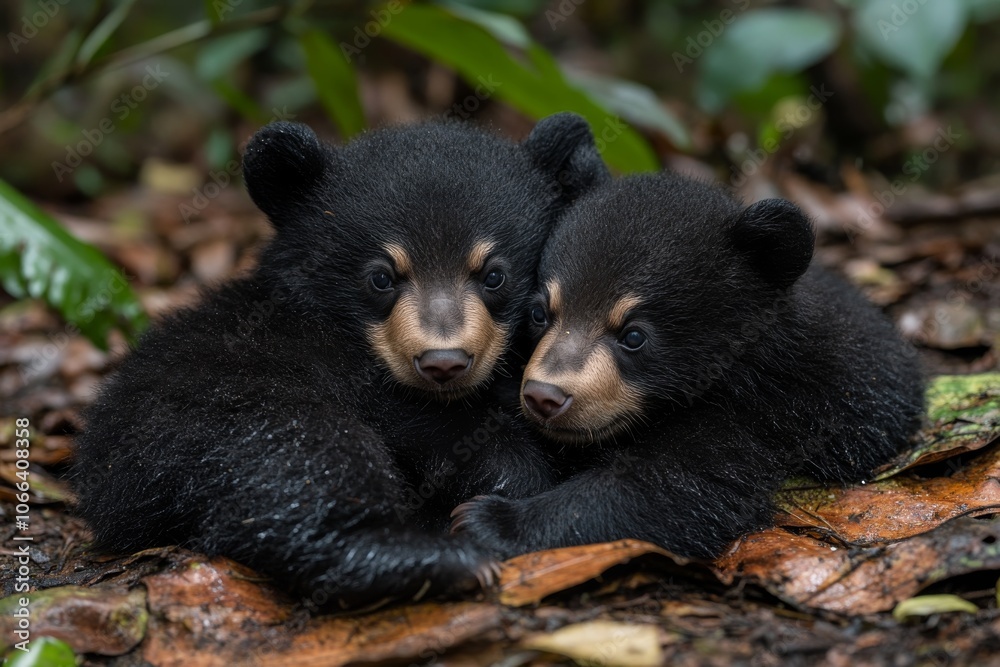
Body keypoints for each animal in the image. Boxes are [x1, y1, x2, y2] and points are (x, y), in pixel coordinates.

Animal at [71, 114, 609, 610]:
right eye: (381, 277)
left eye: (494, 274)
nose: (444, 362)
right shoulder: (350, 373)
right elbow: (446, 436)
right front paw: (506, 478)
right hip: (227, 419)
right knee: (303, 467)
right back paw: (433, 559)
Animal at [452, 171, 925, 560]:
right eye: (540, 313)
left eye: (634, 336)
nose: (544, 396)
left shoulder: (761, 413)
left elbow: (672, 488)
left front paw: (489, 521)